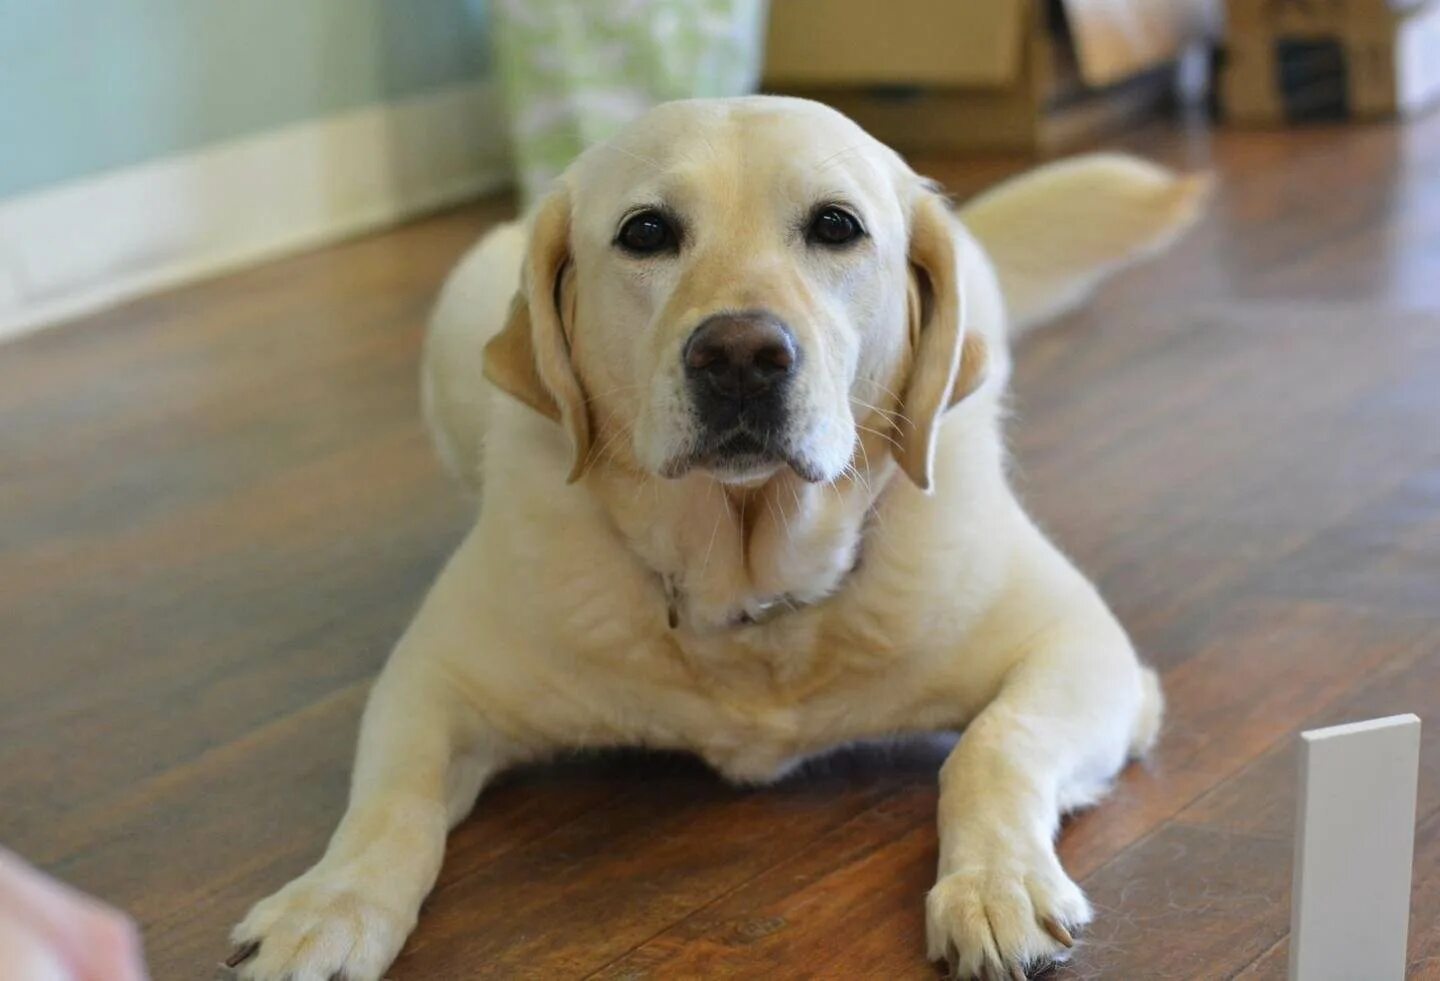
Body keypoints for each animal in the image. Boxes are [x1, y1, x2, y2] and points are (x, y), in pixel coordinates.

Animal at [233, 97, 1203, 979]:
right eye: (647, 232)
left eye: (836, 225)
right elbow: (386, 805)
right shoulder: (431, 678)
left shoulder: (1084, 646)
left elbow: (993, 744)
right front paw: (327, 906)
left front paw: (994, 887)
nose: (740, 354)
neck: (750, 588)